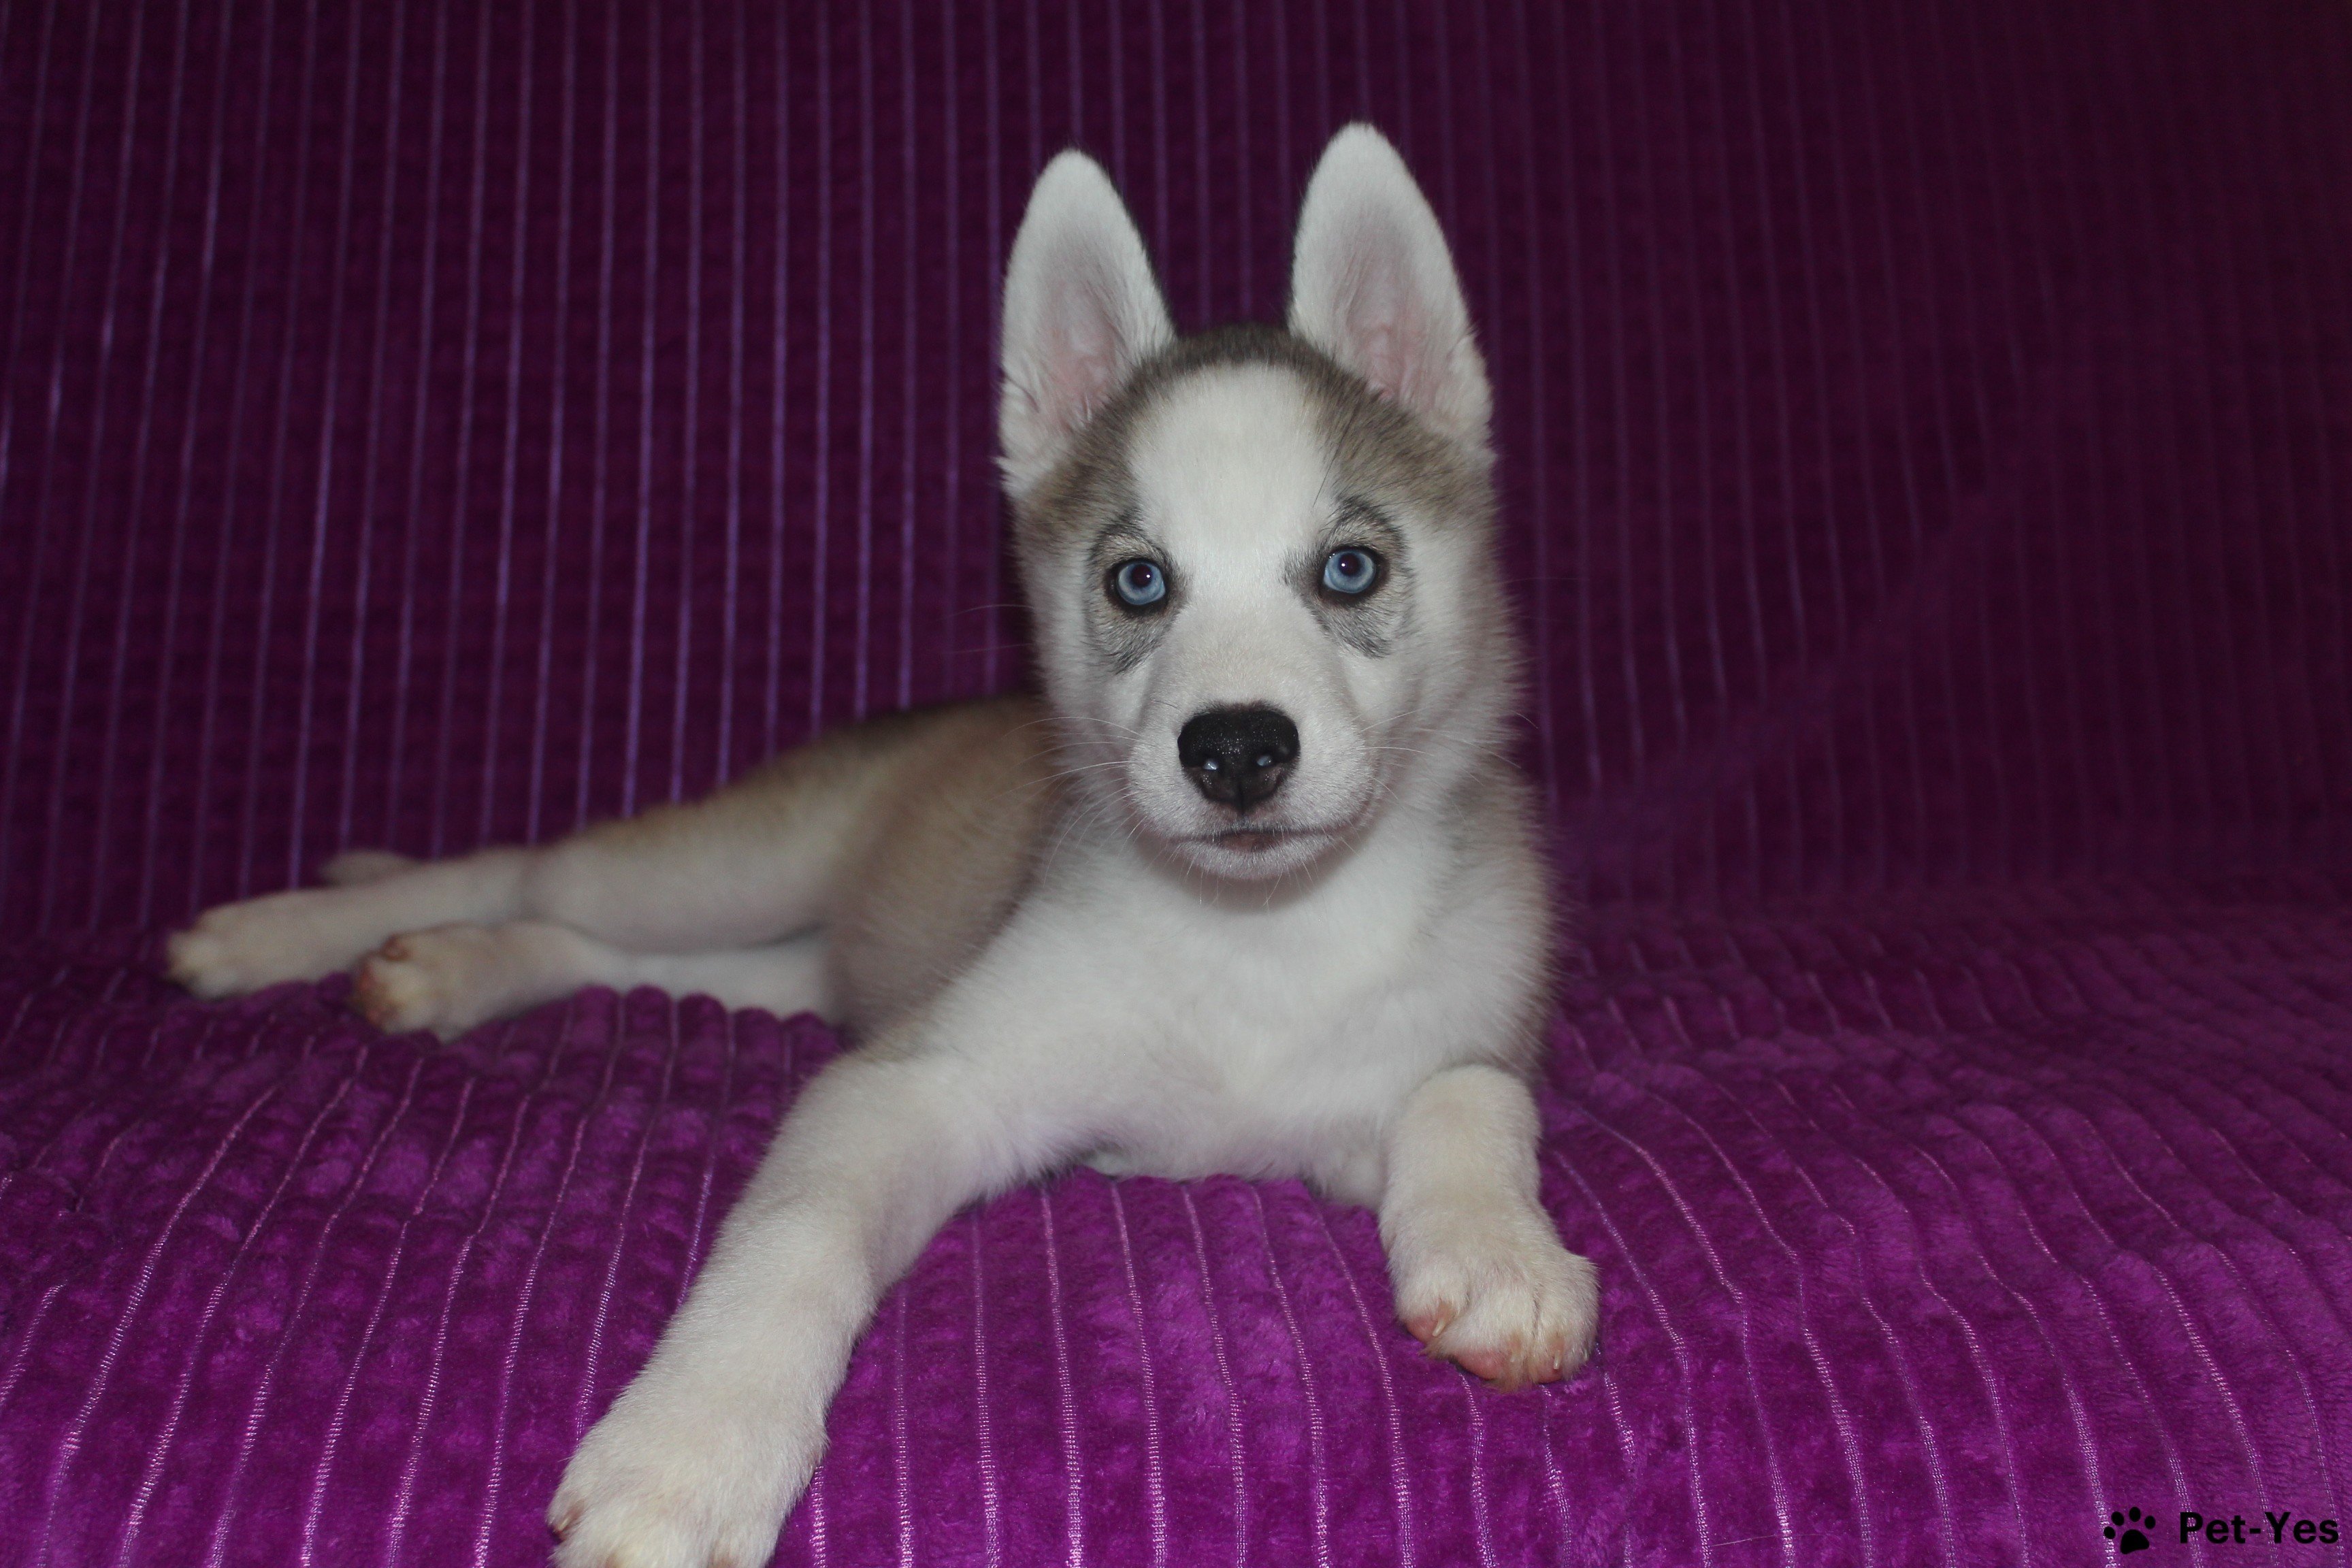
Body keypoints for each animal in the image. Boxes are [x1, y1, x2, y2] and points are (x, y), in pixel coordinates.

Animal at [167, 124, 1597, 1568]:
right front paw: (694, 1442)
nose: (1236, 748)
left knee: (591, 943)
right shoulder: (921, 1079)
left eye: (1351, 569)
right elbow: (800, 1230)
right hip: (729, 868)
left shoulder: (1431, 1044)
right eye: (1138, 581)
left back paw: (460, 968)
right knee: (530, 868)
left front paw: (1503, 1251)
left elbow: (1472, 1089)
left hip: (792, 954)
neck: (1264, 939)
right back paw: (293, 931)